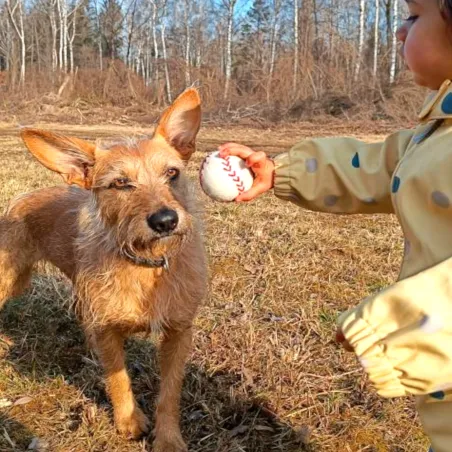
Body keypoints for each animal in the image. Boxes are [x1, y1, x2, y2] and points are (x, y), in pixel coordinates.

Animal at [0, 88, 207, 452]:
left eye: (172, 173)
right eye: (121, 183)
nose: (165, 220)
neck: (144, 267)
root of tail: (20, 198)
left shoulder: (178, 332)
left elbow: (170, 392)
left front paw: (168, 437)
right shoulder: (108, 331)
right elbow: (119, 377)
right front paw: (129, 422)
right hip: (8, 279)